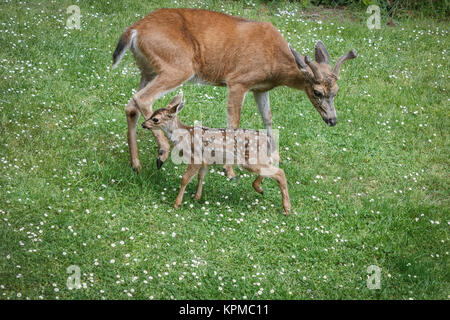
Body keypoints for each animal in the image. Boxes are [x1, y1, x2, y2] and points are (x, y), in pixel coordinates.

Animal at [113, 7, 358, 176]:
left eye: (336, 91)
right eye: (317, 92)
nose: (333, 120)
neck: (275, 63)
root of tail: (133, 31)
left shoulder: (260, 87)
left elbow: (268, 118)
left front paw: (274, 156)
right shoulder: (238, 81)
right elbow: (233, 122)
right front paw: (229, 169)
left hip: (148, 70)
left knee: (130, 105)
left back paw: (136, 165)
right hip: (177, 66)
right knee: (142, 98)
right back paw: (162, 152)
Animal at [143, 92, 292, 212]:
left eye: (155, 119)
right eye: (152, 113)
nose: (143, 124)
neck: (183, 136)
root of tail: (268, 140)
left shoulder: (195, 157)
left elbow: (185, 179)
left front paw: (176, 204)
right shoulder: (205, 161)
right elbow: (201, 177)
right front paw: (197, 197)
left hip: (250, 159)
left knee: (280, 173)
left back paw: (287, 208)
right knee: (271, 169)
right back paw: (260, 189)